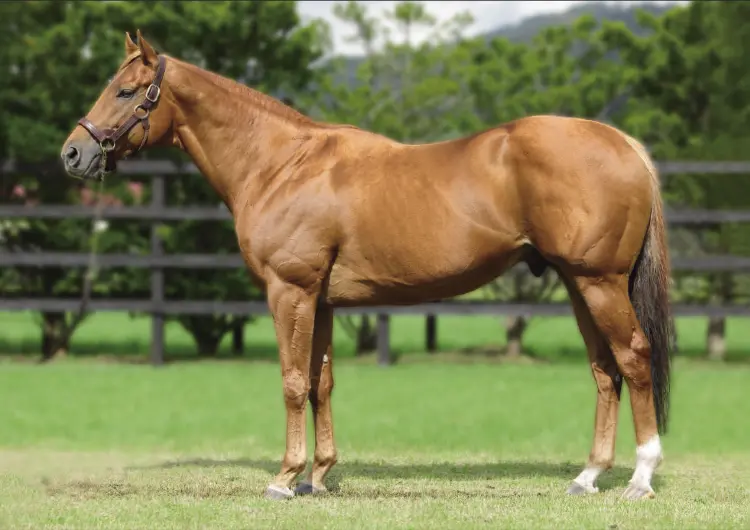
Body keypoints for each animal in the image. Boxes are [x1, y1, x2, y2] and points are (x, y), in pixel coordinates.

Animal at [61, 31, 674, 501]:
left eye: (126, 91)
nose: (73, 153)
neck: (281, 163)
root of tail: (622, 143)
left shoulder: (290, 291)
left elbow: (292, 382)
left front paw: (284, 478)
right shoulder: (324, 299)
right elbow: (321, 382)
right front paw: (319, 476)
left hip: (599, 283)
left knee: (633, 358)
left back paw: (640, 477)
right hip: (578, 284)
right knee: (604, 370)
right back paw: (588, 476)